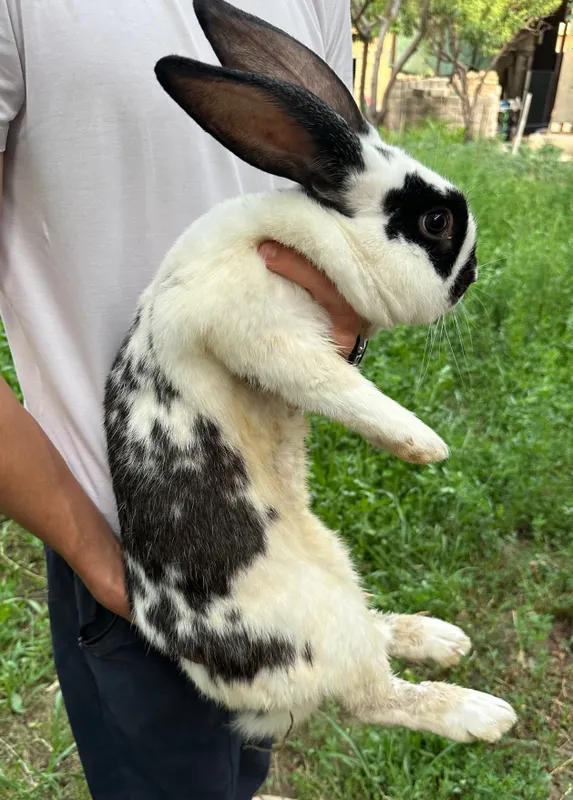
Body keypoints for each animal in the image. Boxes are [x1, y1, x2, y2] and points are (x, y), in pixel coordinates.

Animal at [104, 0, 516, 745]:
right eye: (435, 222)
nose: (470, 275)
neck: (324, 233)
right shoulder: (264, 334)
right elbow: (342, 389)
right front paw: (425, 444)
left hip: (337, 569)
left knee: (377, 637)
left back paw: (440, 637)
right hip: (324, 620)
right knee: (375, 696)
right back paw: (479, 713)